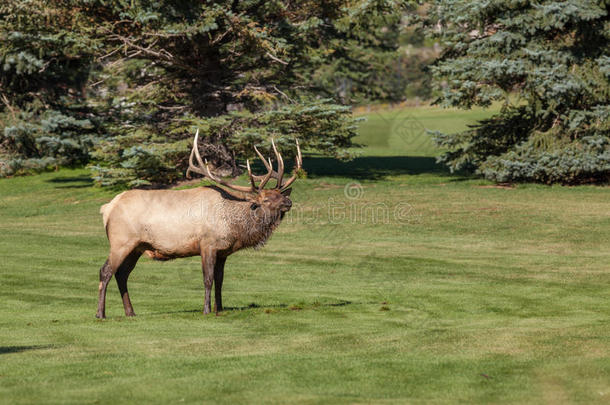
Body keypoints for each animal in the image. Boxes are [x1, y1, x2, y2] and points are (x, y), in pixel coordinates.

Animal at [95, 131, 302, 318]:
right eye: (266, 199)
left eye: (280, 194)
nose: (289, 202)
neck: (234, 227)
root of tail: (107, 208)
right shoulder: (207, 244)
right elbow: (208, 279)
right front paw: (206, 310)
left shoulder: (223, 251)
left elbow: (220, 280)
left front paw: (220, 309)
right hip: (121, 242)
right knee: (105, 271)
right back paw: (100, 314)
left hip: (137, 247)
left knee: (122, 274)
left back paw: (130, 312)